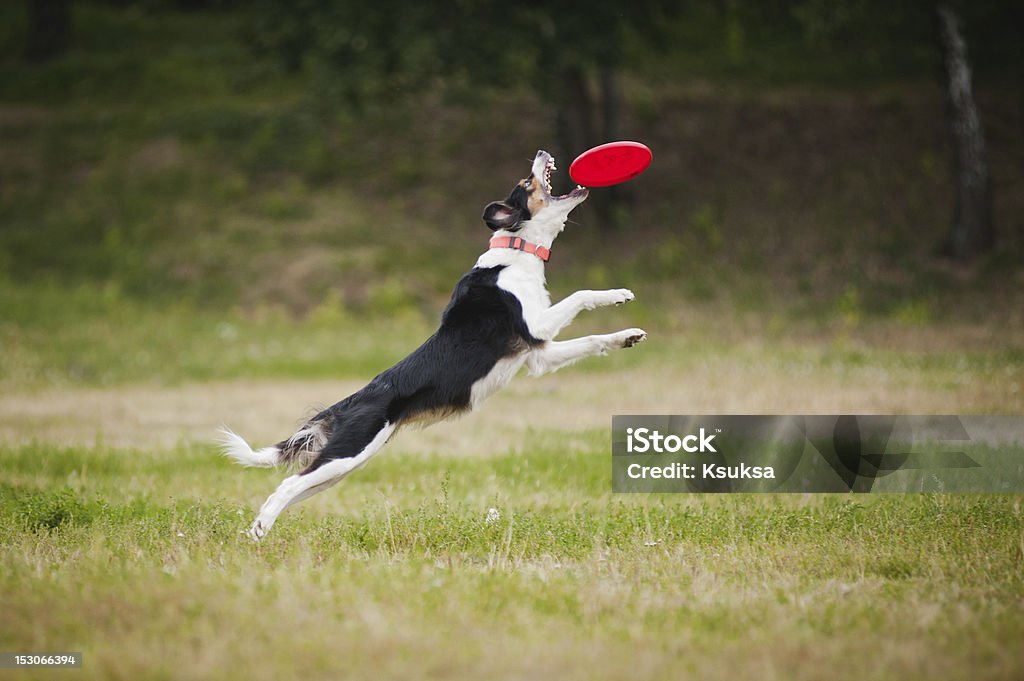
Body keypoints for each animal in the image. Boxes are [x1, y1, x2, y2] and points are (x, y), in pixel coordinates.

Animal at [222, 148, 647, 536]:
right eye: (527, 183)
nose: (542, 151)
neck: (517, 251)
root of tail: (347, 404)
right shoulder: (536, 327)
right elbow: (580, 295)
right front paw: (618, 293)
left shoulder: (538, 357)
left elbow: (593, 339)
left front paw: (627, 335)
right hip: (348, 452)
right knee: (287, 484)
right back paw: (258, 529)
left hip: (340, 466)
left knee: (292, 486)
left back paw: (259, 528)